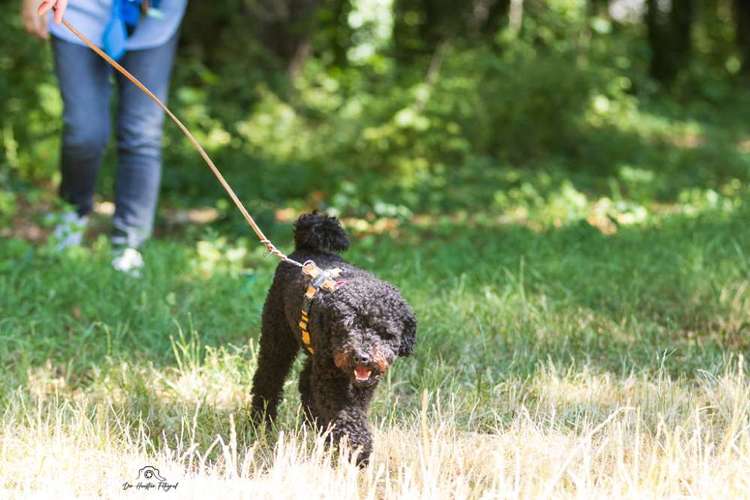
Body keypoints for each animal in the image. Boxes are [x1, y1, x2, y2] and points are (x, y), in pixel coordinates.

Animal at [251, 213, 418, 466]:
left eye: (385, 332)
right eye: (347, 328)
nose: (362, 357)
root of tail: (304, 249)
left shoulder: (361, 383)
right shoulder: (333, 380)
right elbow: (346, 415)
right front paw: (358, 449)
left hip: (315, 352)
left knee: (305, 381)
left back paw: (314, 422)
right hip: (278, 335)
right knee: (268, 377)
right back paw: (260, 422)